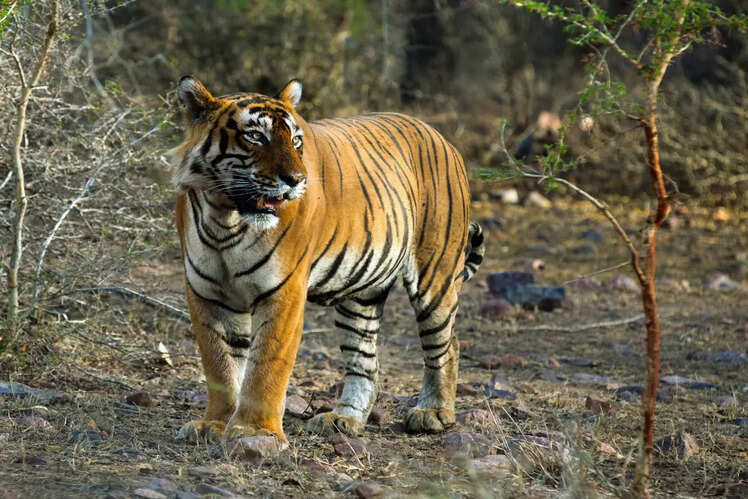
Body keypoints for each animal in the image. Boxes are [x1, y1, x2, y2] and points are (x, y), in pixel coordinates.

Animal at [172, 76, 485, 444]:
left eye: (295, 141)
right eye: (256, 137)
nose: (296, 181)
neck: (226, 218)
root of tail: (440, 136)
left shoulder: (284, 292)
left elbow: (266, 366)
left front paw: (255, 432)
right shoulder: (207, 293)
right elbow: (220, 365)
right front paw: (214, 424)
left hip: (435, 275)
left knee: (447, 345)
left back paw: (433, 413)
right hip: (360, 294)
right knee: (366, 363)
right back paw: (344, 419)